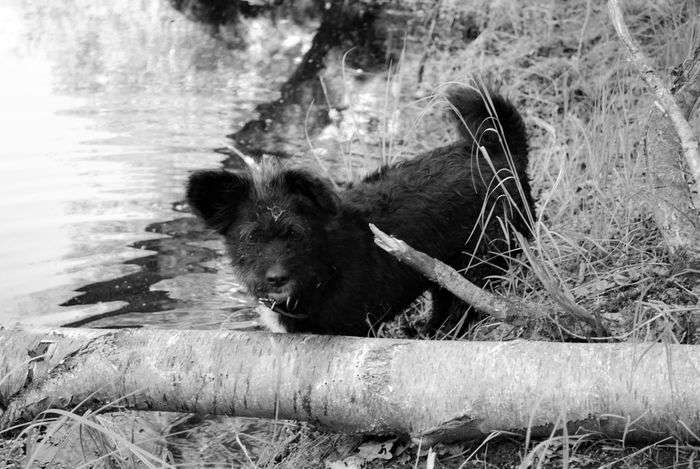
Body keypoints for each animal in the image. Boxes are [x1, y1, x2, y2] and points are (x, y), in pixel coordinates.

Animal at [187, 88, 536, 334]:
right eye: (251, 237)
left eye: (295, 233)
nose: (275, 278)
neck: (326, 267)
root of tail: (502, 153)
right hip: (443, 271)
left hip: (485, 260)